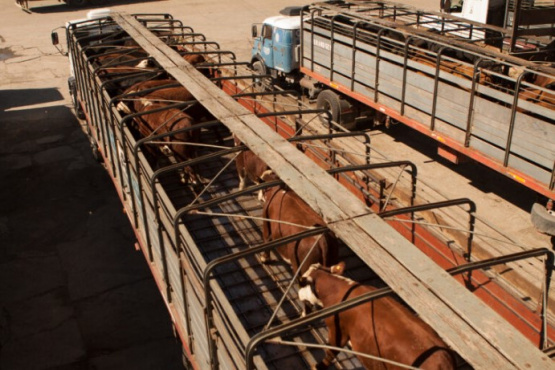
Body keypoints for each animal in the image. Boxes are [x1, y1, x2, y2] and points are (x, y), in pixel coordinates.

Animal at [300, 264, 456, 370]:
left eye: (300, 282)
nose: (299, 294)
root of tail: (444, 360)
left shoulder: (337, 330)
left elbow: (331, 351)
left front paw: (318, 366)